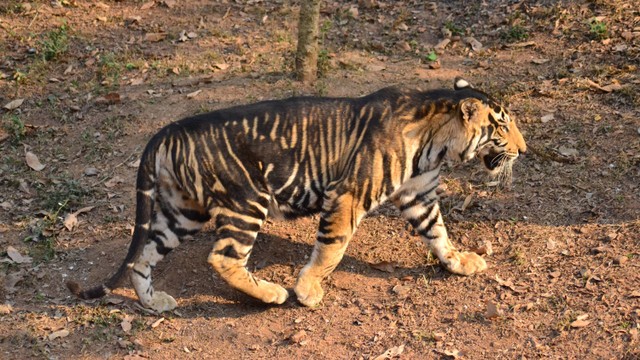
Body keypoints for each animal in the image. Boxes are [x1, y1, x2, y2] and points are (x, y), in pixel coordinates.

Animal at [66, 77, 524, 310]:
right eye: (502, 126)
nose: (523, 149)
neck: (437, 145)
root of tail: (170, 129)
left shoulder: (419, 196)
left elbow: (438, 233)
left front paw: (459, 262)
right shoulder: (348, 196)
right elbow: (331, 249)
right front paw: (307, 291)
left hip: (183, 213)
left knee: (143, 257)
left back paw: (153, 302)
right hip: (246, 201)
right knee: (223, 258)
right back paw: (272, 293)